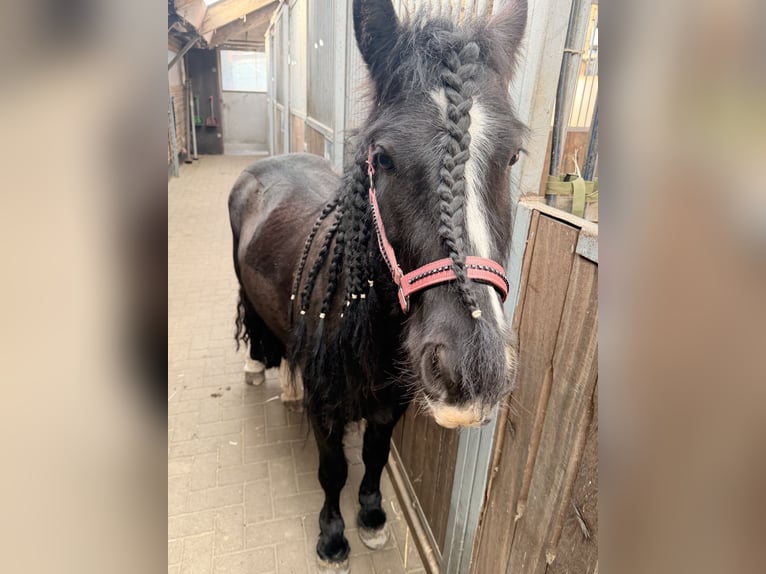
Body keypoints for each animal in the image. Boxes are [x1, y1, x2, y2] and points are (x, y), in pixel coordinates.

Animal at [227, 0, 527, 570]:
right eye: (383, 156)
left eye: (514, 155)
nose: (470, 368)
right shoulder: (327, 409)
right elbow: (333, 470)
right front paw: (332, 538)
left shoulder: (392, 405)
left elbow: (373, 456)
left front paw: (370, 517)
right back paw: (258, 367)